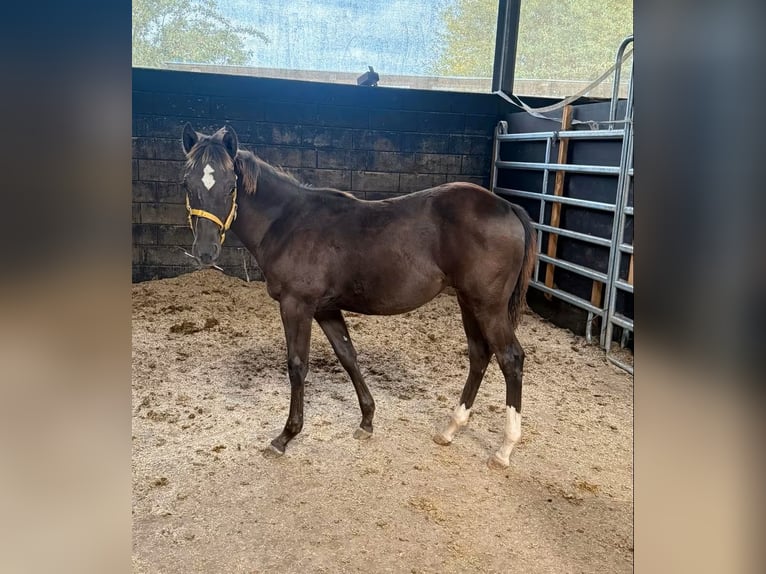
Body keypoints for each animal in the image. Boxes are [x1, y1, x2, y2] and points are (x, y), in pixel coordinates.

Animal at [180, 123, 537, 468]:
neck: (288, 223)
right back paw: (450, 429)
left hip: (488, 306)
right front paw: (367, 421)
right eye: (187, 183)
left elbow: (297, 365)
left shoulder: (297, 305)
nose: (205, 251)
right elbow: (347, 356)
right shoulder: (325, 309)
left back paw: (504, 449)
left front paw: (285, 437)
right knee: (479, 355)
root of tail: (507, 206)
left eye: (230, 186)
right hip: (468, 302)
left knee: (510, 358)